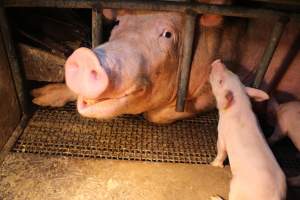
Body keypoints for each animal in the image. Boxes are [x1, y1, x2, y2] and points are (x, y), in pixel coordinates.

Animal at [210, 59, 284, 200]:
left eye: (220, 81)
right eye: (235, 74)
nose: (219, 61)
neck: (240, 103)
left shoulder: (222, 133)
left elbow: (221, 151)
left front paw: (213, 164)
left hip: (236, 187)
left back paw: (214, 197)